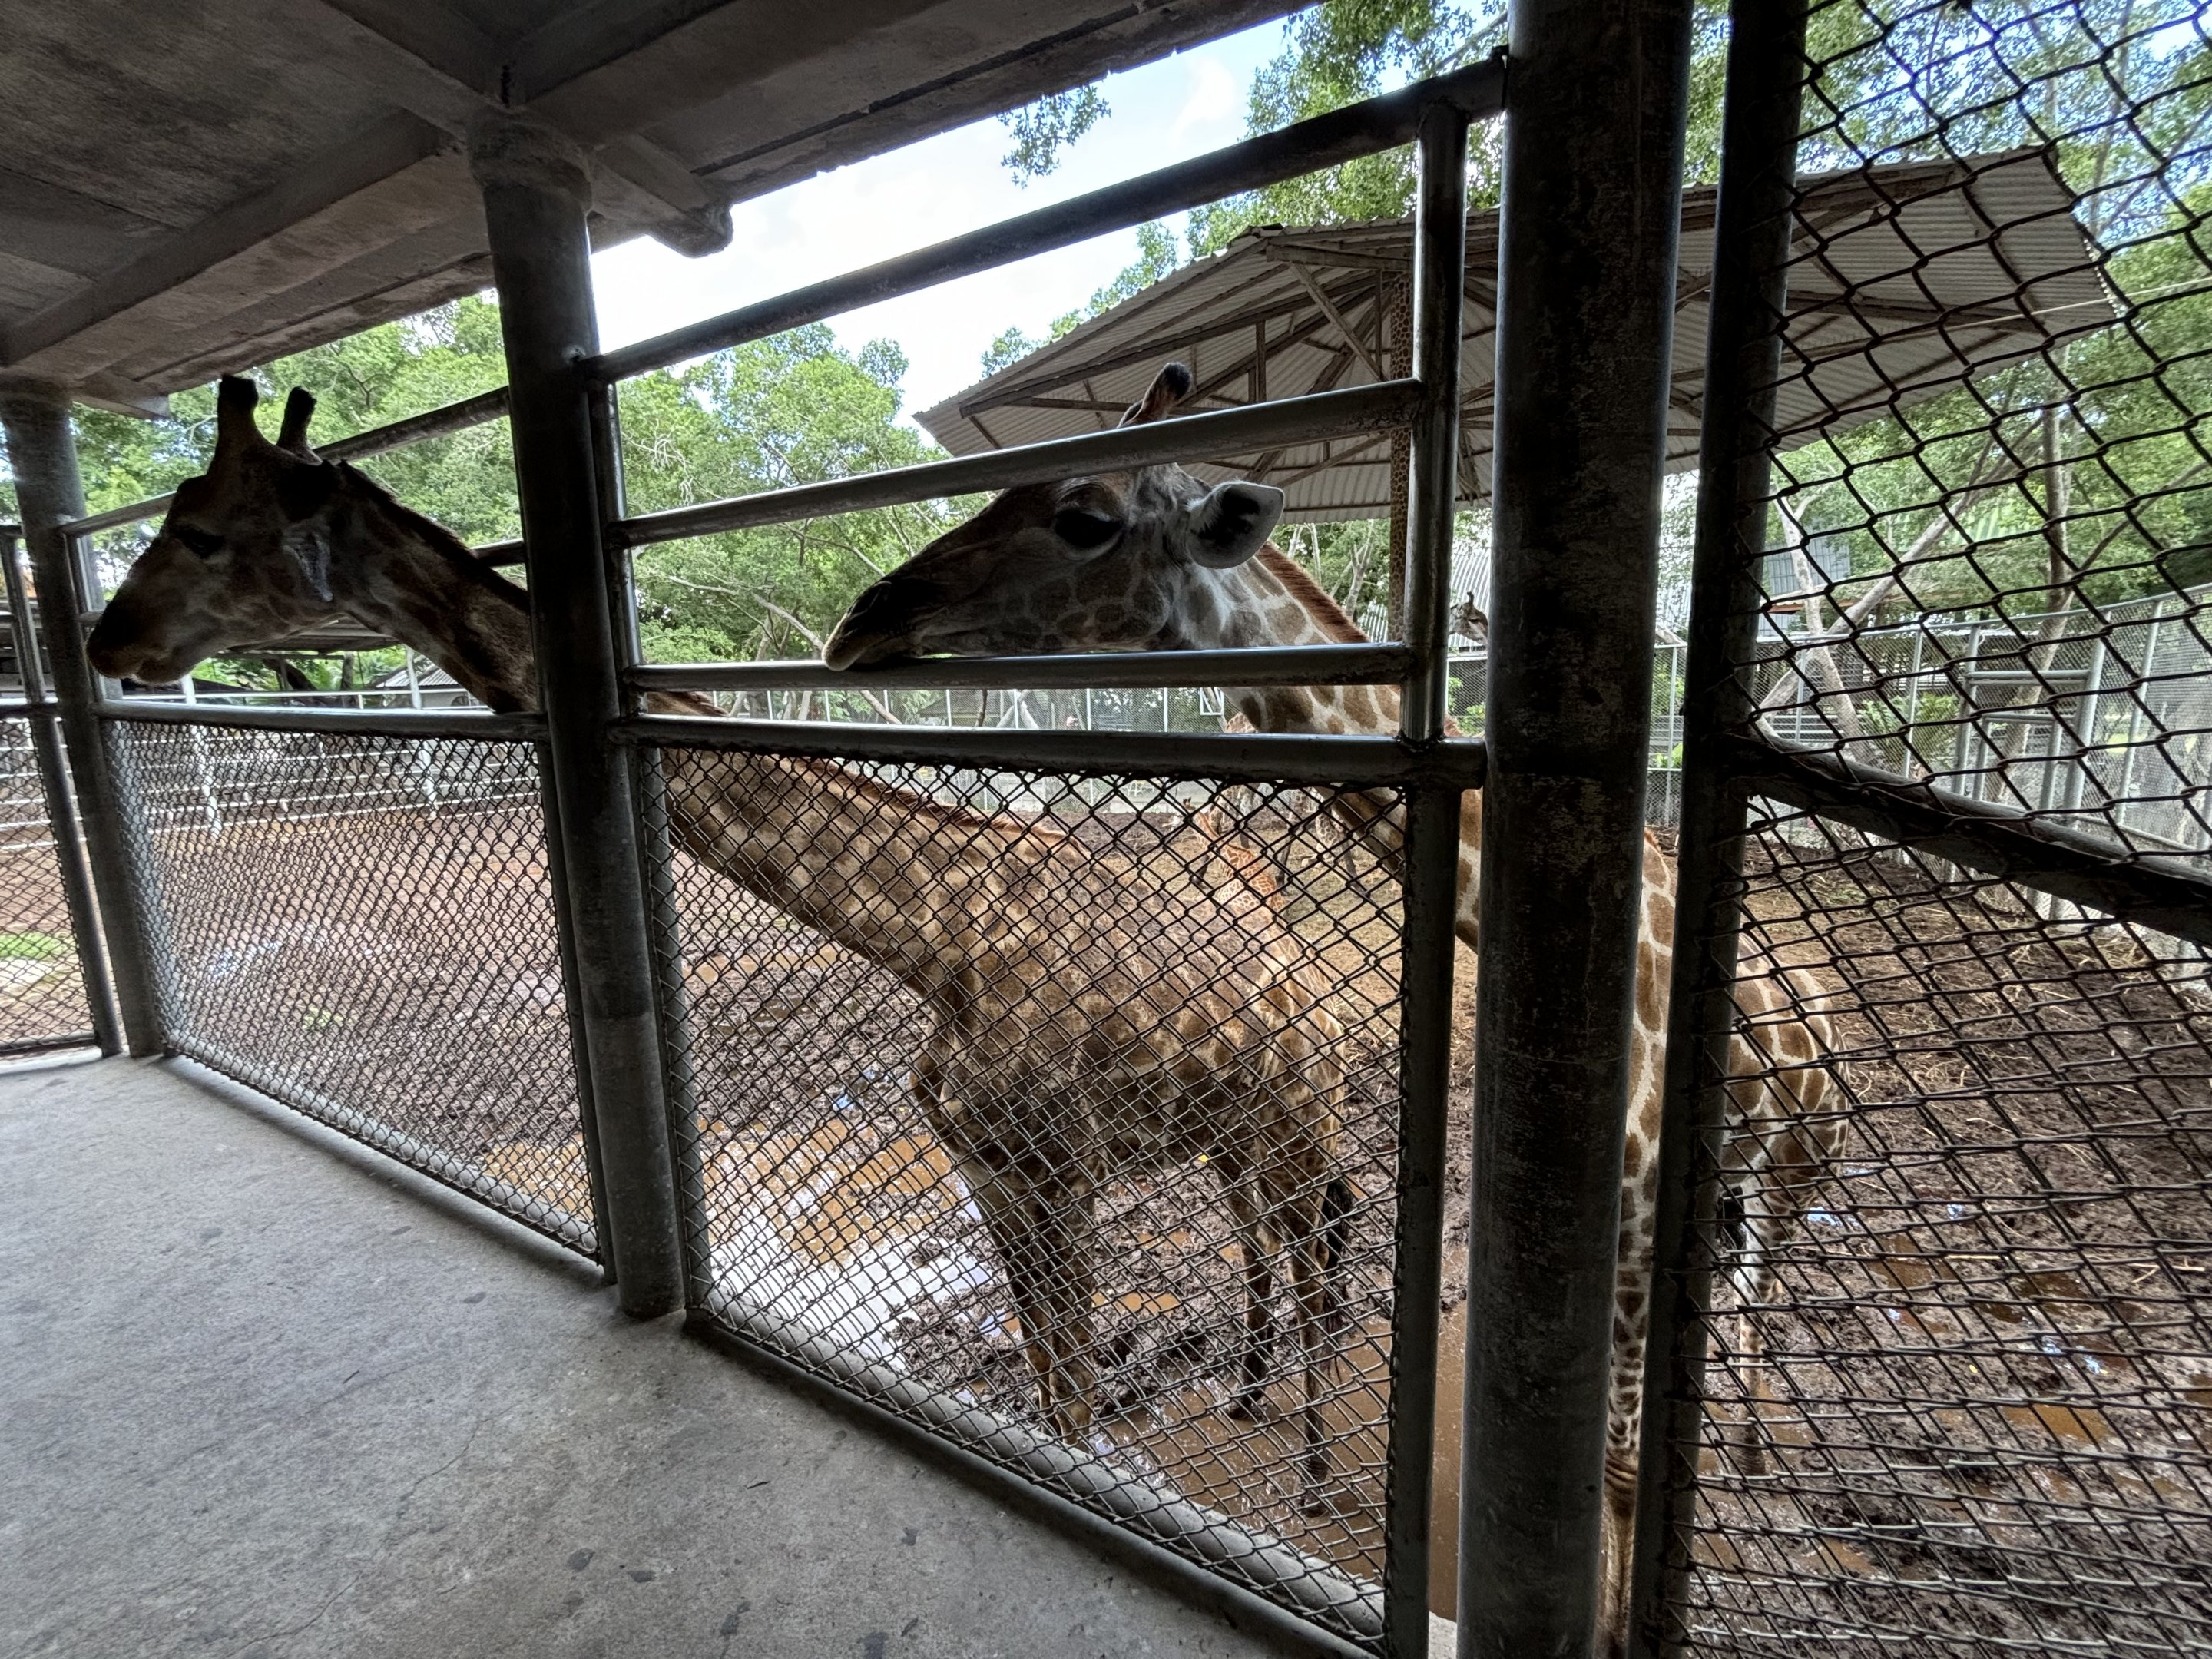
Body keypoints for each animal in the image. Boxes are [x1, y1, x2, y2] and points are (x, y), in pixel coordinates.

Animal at [86, 375, 1363, 1494]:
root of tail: (1295, 958)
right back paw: (1250, 1394)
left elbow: (1075, 1388)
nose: (109, 639)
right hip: (1229, 1129)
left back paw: (1312, 1478)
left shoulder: (1058, 1172)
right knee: (1272, 1239)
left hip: (1299, 1115)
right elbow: (1054, 1383)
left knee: (1320, 1253)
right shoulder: (990, 1169)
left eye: (201, 532)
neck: (940, 941)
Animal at [825, 360, 1842, 1651]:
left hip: (1798, 1165)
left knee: (1762, 1291)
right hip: (1737, 1193)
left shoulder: (1630, 1234)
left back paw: (1752, 1450)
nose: (864, 620)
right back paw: (1744, 1448)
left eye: (1085, 517)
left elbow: (1614, 1466)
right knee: (1741, 1302)